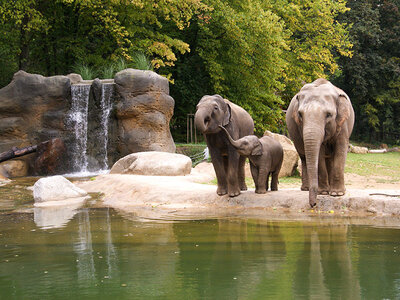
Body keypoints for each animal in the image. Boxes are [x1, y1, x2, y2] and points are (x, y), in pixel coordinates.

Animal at [286, 78, 354, 207]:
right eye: (300, 114)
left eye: (328, 115)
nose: (313, 204)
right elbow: (320, 153)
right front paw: (323, 192)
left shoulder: (343, 124)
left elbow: (340, 149)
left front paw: (337, 194)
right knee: (304, 157)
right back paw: (306, 189)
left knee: (330, 157)